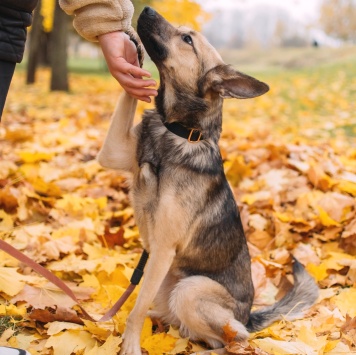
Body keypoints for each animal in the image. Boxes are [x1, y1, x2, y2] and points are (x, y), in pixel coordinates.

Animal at [96, 6, 318, 354]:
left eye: (187, 39)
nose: (145, 9)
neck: (179, 132)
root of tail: (248, 316)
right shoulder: (114, 151)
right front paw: (130, 55)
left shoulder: (162, 249)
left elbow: (135, 309)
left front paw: (130, 344)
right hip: (168, 284)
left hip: (189, 288)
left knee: (230, 338)